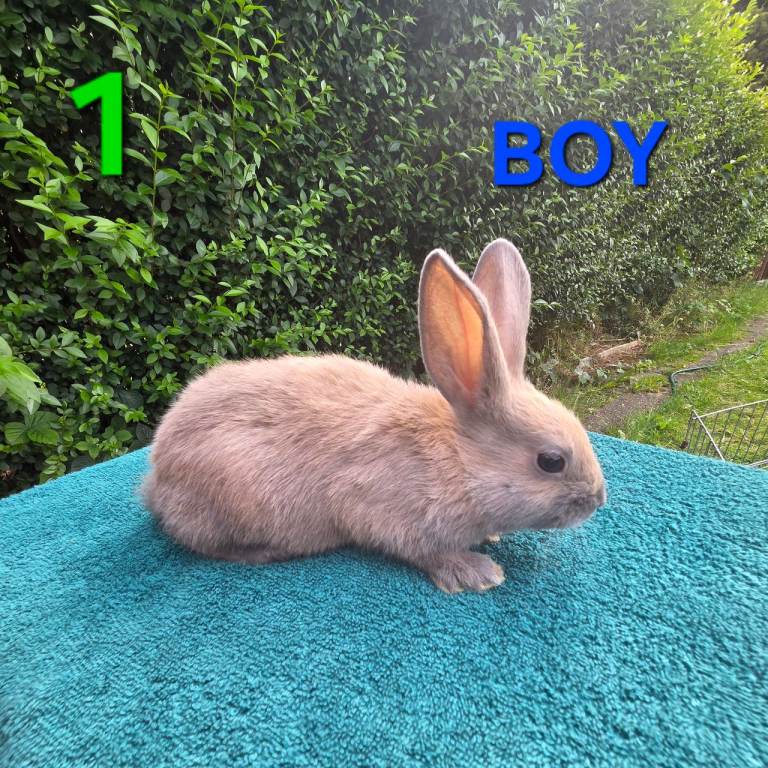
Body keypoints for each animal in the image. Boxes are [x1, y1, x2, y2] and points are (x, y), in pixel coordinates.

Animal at [142, 239, 606, 593]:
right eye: (551, 461)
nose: (599, 498)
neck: (459, 459)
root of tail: (156, 477)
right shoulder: (381, 509)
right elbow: (424, 551)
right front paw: (478, 573)